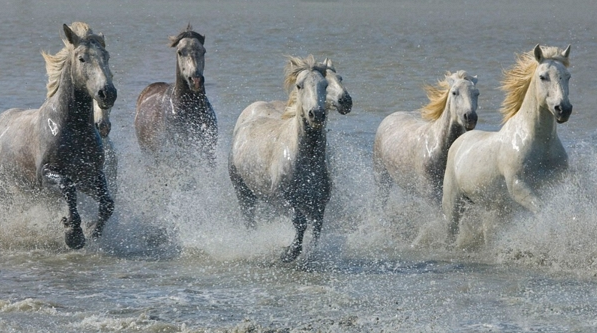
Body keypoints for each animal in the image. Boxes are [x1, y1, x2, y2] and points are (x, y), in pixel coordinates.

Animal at [0, 22, 117, 248]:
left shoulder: (90, 175)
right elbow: (67, 187)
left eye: (107, 56)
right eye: (82, 58)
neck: (72, 129)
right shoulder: (46, 175)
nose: (107, 93)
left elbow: (107, 203)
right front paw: (73, 234)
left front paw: (93, 231)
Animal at [228, 55, 350, 262]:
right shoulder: (281, 199)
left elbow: (316, 230)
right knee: (249, 220)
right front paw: (288, 252)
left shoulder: (318, 205)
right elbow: (299, 222)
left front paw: (305, 253)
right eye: (300, 85)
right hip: (243, 191)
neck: (305, 161)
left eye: (325, 84)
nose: (316, 113)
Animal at [372, 70, 480, 205]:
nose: (470, 117)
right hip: (381, 176)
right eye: (454, 92)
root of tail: (389, 117)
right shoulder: (431, 195)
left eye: (477, 93)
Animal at [440, 44, 572, 241]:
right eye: (543, 77)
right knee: (450, 230)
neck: (540, 142)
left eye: (568, 76)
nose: (563, 109)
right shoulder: (517, 184)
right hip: (453, 203)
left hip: (492, 208)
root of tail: (458, 142)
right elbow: (541, 209)